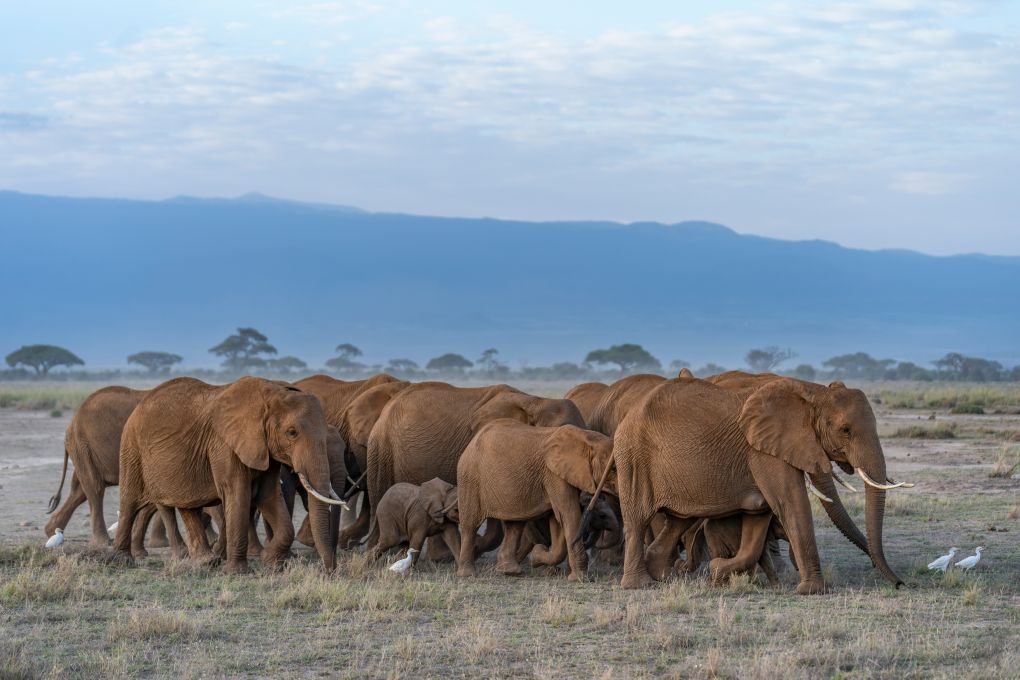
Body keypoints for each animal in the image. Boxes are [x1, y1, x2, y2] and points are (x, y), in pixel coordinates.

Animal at [44, 385, 170, 553]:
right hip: (83, 445)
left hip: (83, 449)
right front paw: (160, 544)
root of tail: (72, 422)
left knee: (79, 491)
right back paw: (103, 543)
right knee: (94, 487)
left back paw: (52, 531)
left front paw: (161, 544)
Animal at [113, 377, 347, 573]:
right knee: (130, 501)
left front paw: (270, 562)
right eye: (292, 433)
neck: (271, 393)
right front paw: (238, 572)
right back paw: (122, 561)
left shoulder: (264, 450)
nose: (329, 571)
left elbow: (268, 497)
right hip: (131, 447)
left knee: (187, 505)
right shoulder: (224, 445)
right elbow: (238, 494)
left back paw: (206, 562)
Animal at [456, 419, 615, 580]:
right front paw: (580, 579)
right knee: (470, 524)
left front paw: (537, 557)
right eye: (613, 470)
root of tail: (472, 441)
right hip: (470, 478)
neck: (586, 438)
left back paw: (510, 571)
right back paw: (468, 574)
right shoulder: (554, 475)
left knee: (514, 526)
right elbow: (569, 515)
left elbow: (557, 520)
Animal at [610, 375, 910, 593]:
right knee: (637, 519)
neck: (812, 393)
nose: (900, 583)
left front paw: (717, 571)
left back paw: (666, 576)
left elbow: (759, 514)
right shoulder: (763, 452)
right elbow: (790, 503)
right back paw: (640, 585)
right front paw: (813, 590)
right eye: (845, 430)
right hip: (633, 457)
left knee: (678, 520)